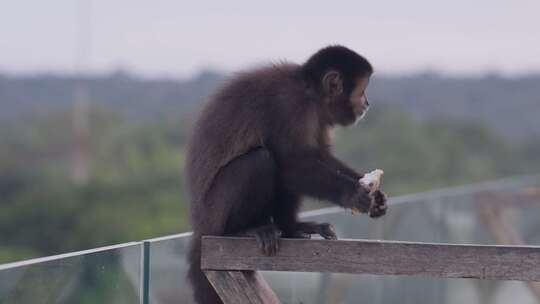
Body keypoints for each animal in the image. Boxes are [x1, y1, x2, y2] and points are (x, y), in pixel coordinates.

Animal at [187, 45, 388, 304]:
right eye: (362, 91)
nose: (367, 102)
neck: (309, 93)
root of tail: (200, 224)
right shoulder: (291, 104)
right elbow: (290, 163)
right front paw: (352, 194)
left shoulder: (318, 115)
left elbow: (318, 155)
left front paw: (376, 196)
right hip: (215, 212)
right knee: (261, 161)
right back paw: (242, 230)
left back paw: (292, 227)